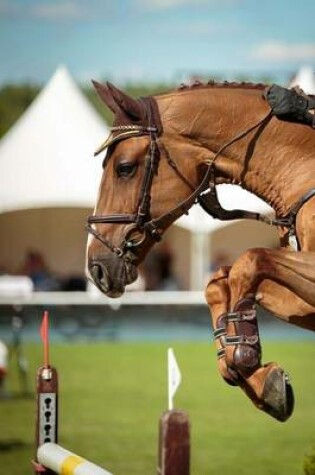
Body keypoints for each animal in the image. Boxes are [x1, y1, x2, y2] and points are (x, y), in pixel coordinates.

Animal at [86, 80, 315, 422]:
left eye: (124, 168)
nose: (96, 268)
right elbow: (219, 280)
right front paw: (250, 370)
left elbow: (249, 259)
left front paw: (245, 354)